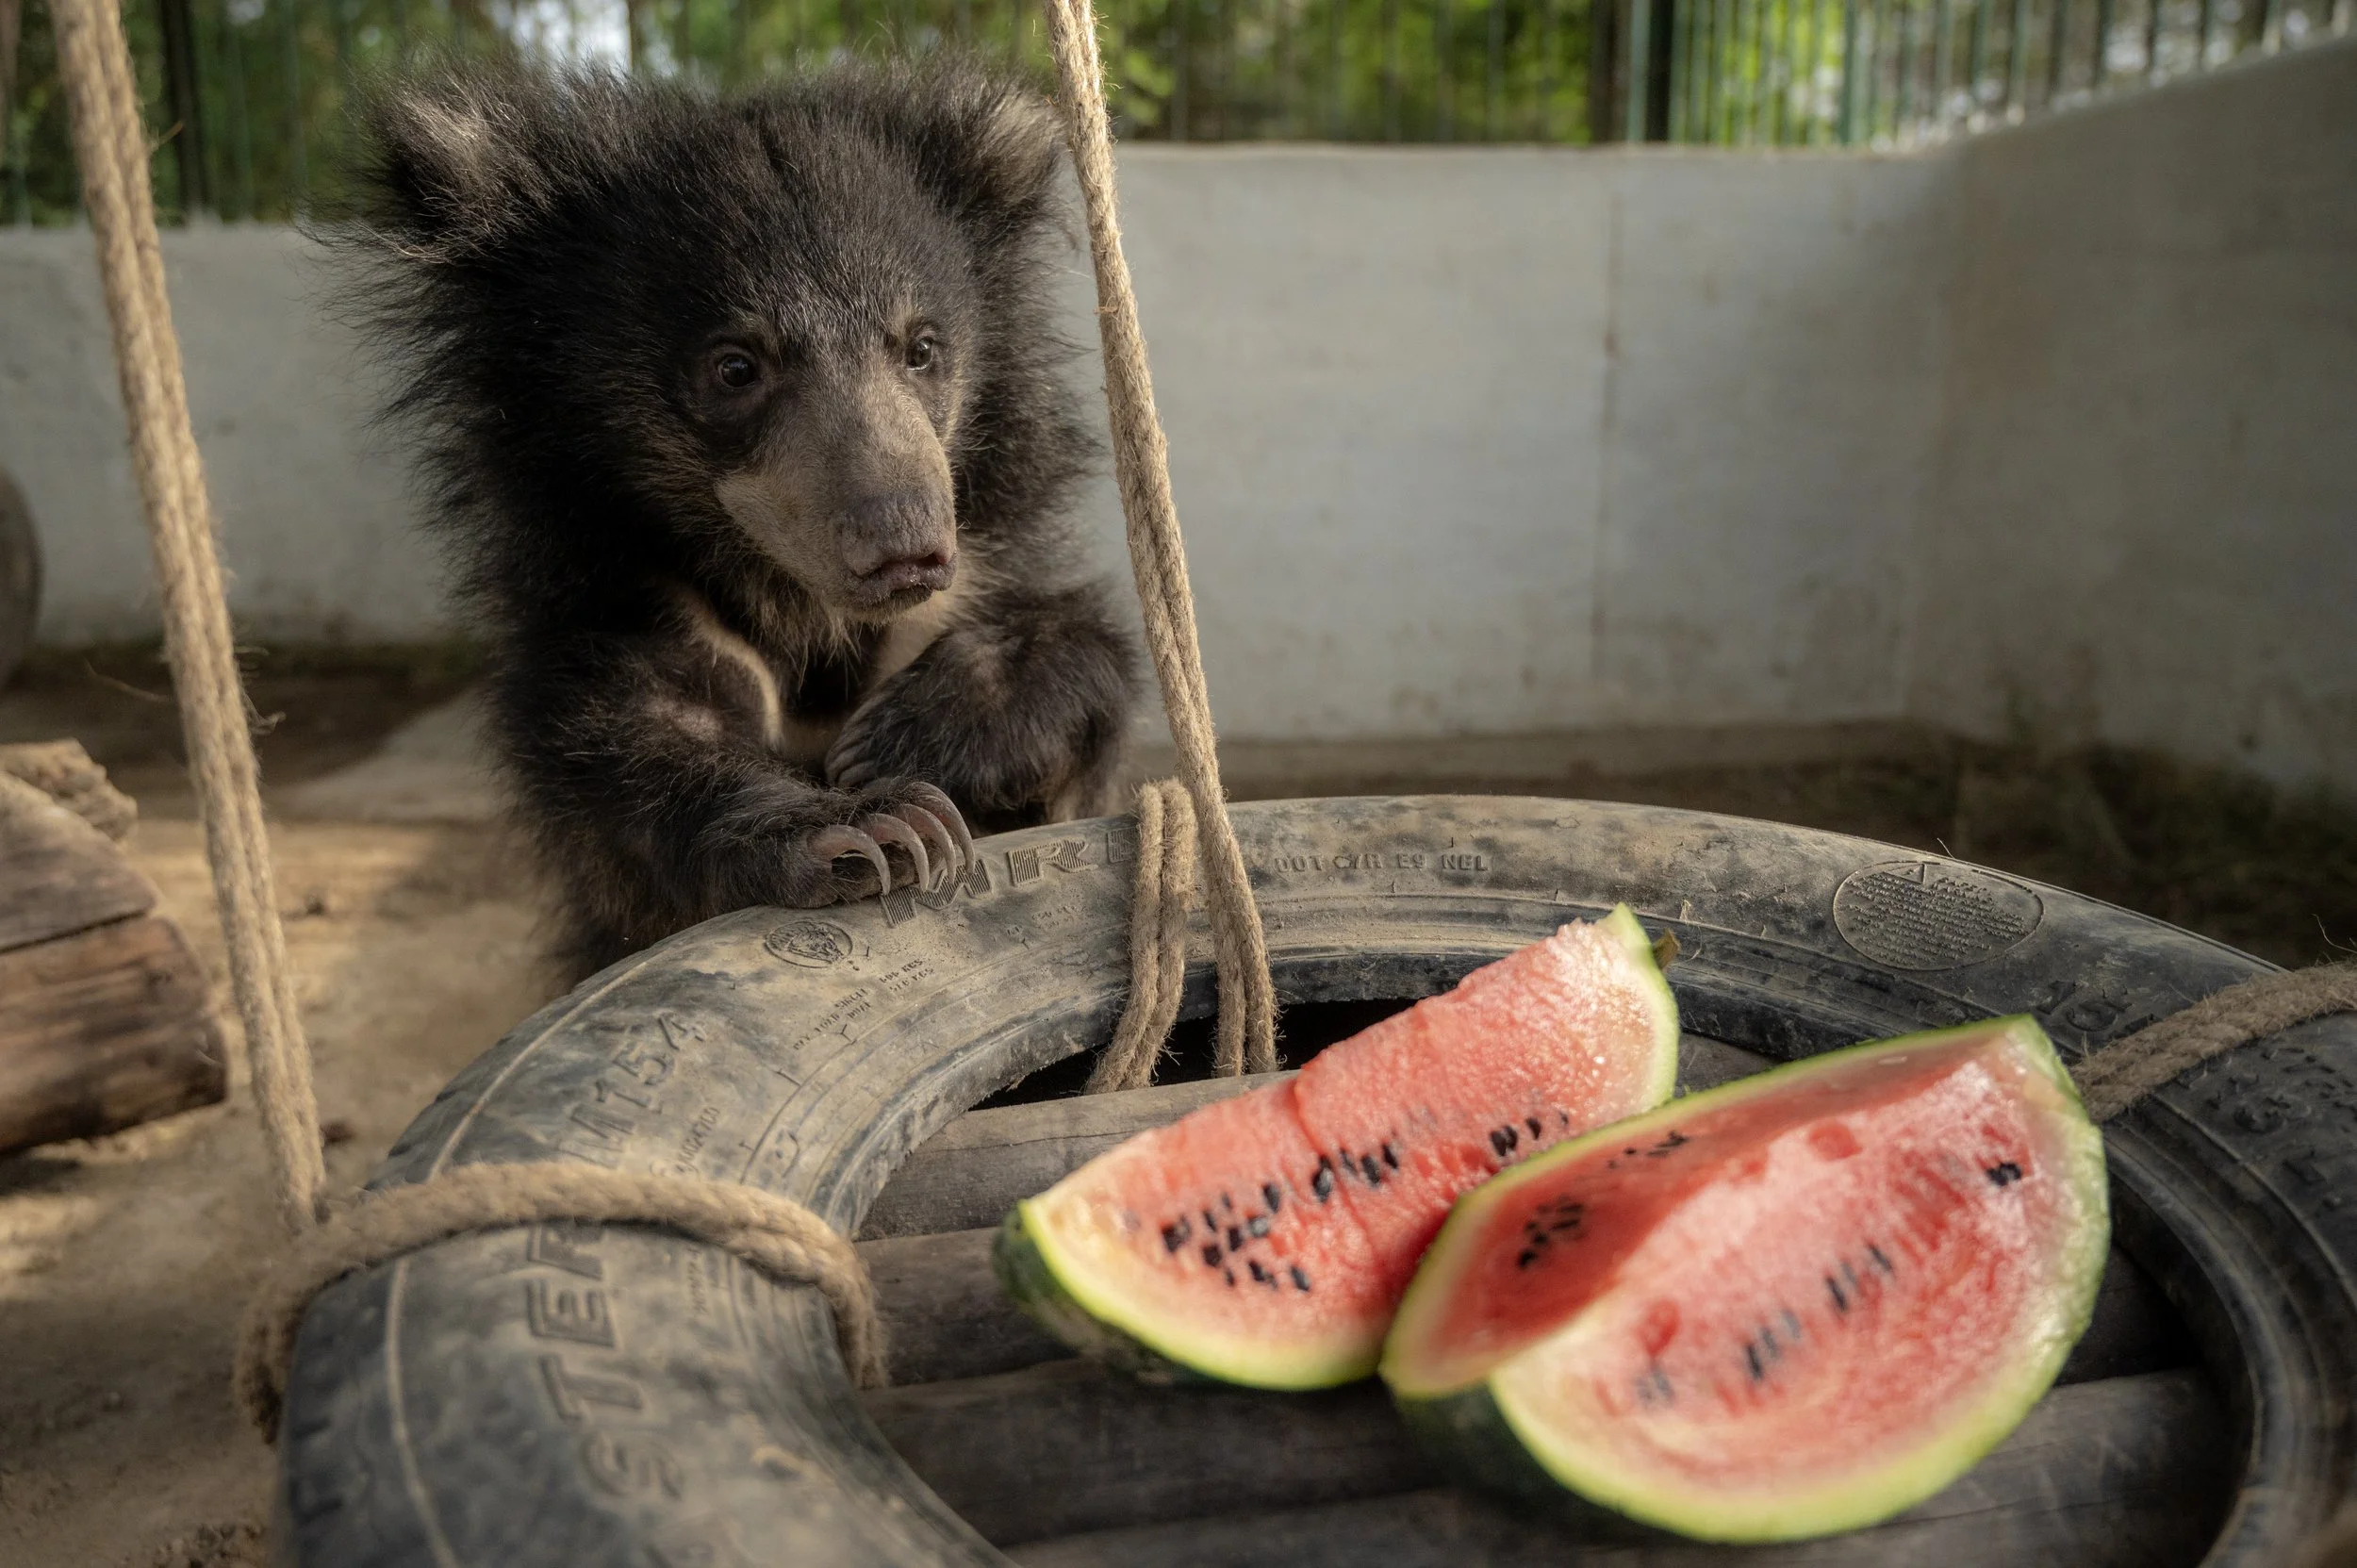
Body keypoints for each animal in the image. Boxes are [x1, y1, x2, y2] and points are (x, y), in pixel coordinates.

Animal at [342, 58, 1139, 980]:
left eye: (922, 348)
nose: (903, 551)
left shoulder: (979, 568)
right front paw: (872, 824)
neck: (802, 610)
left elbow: (1077, 684)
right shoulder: (622, 603)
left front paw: (914, 737)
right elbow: (639, 771)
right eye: (735, 367)